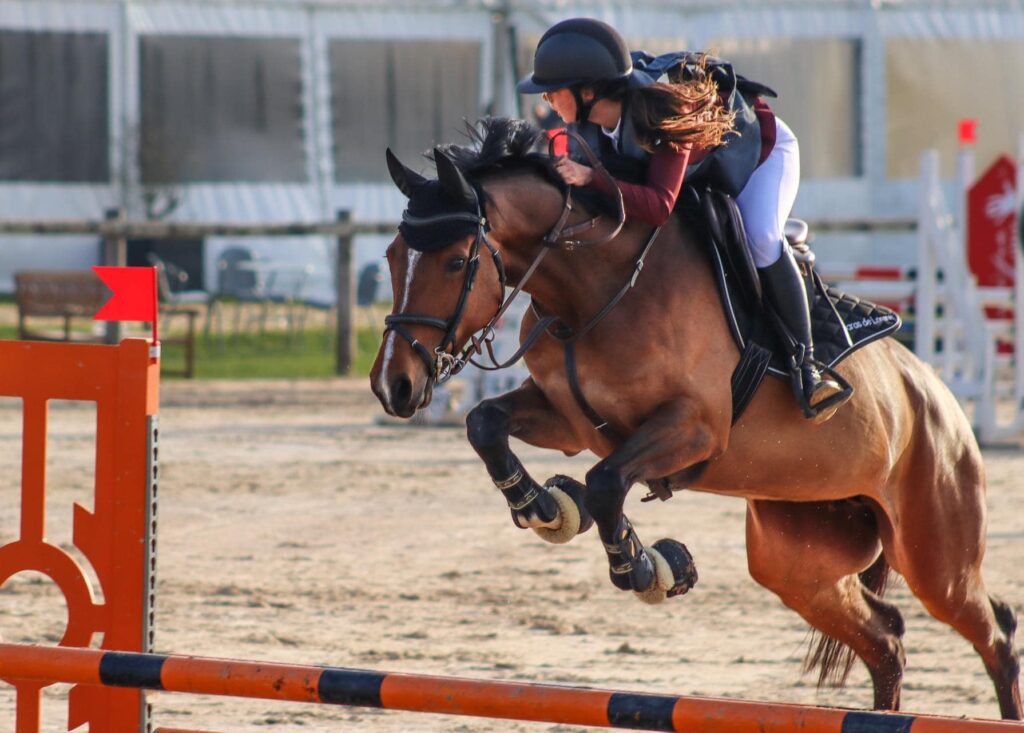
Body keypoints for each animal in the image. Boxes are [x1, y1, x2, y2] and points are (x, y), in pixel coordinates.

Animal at [372, 117, 1019, 720]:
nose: (392, 385)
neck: (597, 289)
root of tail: (934, 394)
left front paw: (642, 564)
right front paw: (544, 506)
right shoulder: (571, 421)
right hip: (798, 557)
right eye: (392, 255)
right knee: (885, 640)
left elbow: (606, 481)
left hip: (935, 556)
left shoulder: (694, 428)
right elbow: (485, 423)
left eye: (457, 261)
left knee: (995, 635)